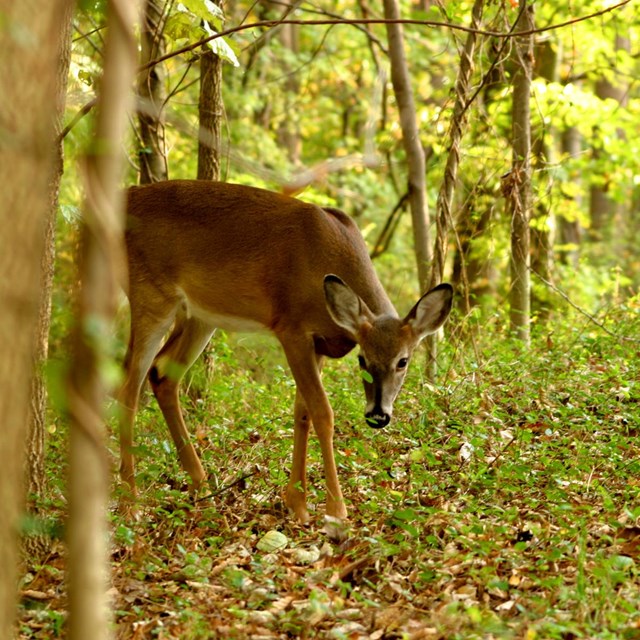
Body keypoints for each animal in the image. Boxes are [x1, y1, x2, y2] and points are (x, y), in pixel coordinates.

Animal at [117, 178, 452, 524]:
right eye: (362, 359)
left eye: (403, 361)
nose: (377, 415)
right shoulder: (291, 328)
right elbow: (323, 412)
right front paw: (336, 510)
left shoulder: (319, 343)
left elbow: (301, 412)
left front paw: (297, 504)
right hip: (150, 295)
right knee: (128, 385)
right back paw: (130, 504)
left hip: (199, 315)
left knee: (162, 373)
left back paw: (202, 490)